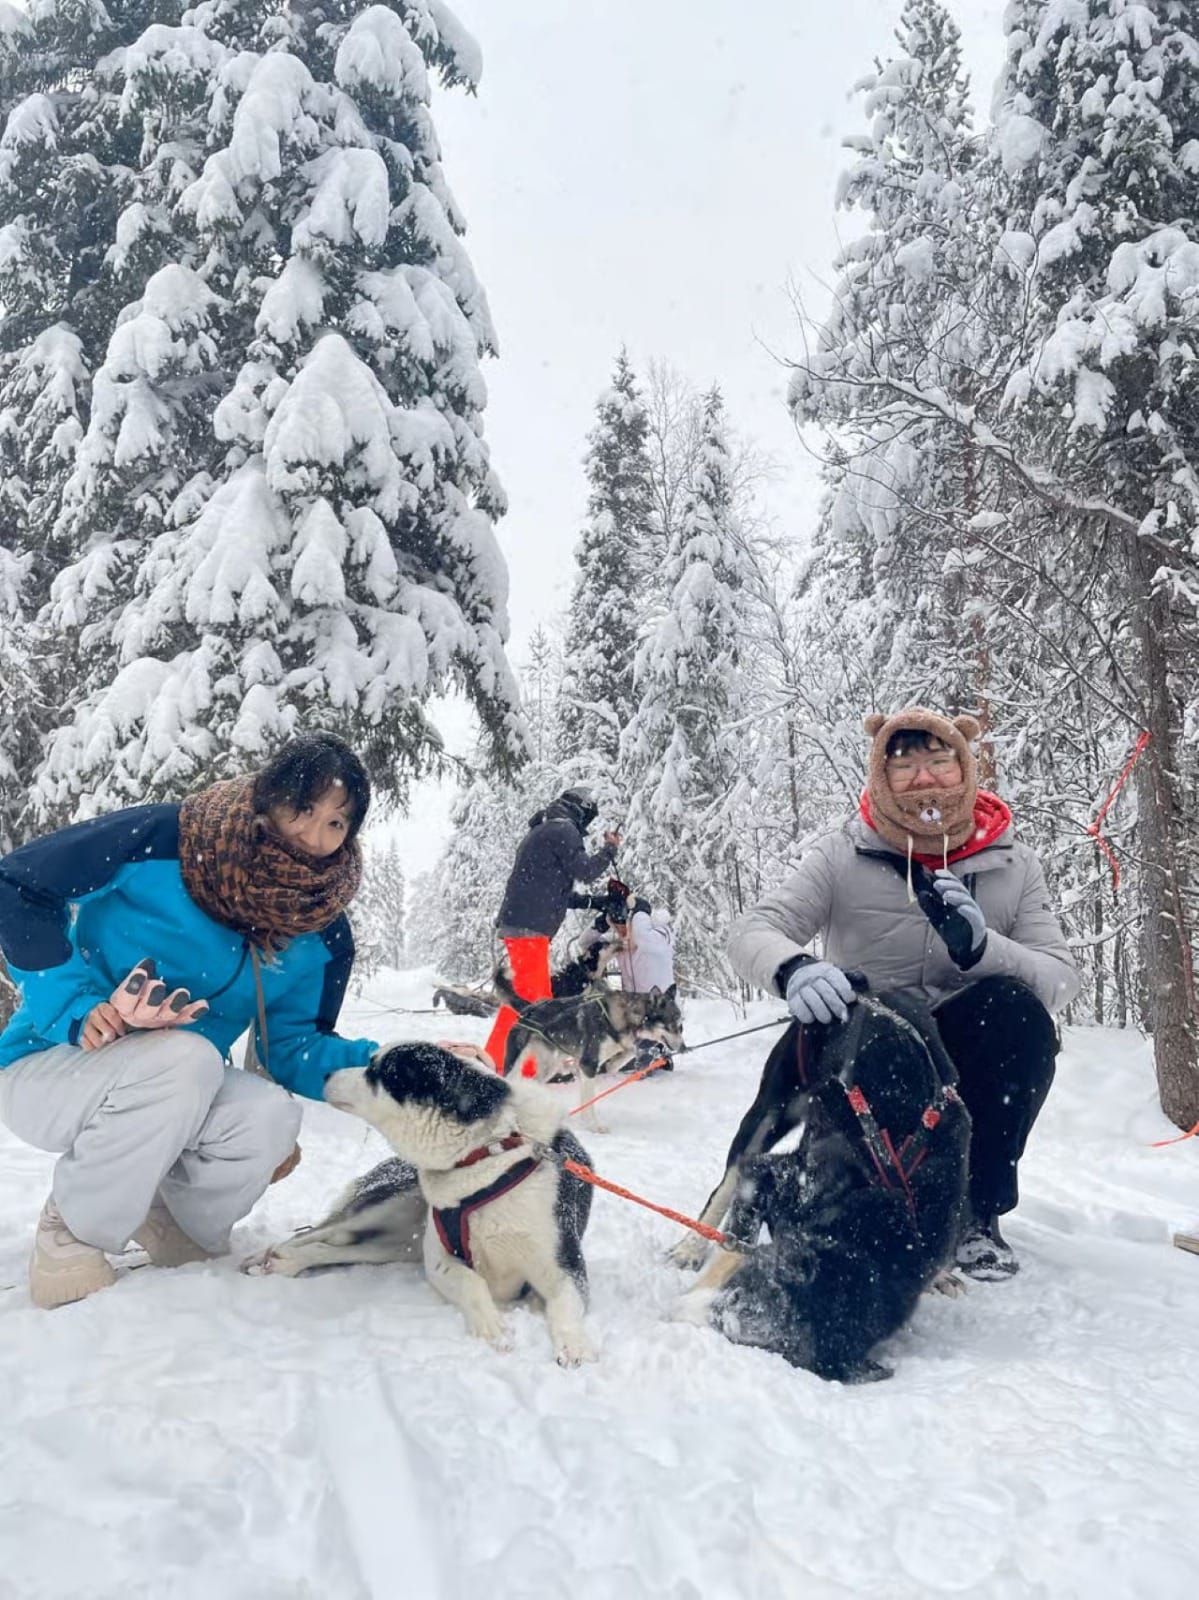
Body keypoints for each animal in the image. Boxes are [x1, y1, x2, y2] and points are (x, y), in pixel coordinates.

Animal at [246, 1042, 598, 1366]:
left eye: (377, 1071)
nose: (327, 1074)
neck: (489, 1153)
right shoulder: (439, 1259)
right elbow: (471, 1281)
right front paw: (492, 1327)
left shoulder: (565, 1266)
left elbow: (565, 1304)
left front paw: (575, 1344)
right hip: (389, 1204)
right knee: (317, 1231)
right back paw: (269, 1255)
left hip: (400, 1246)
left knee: (334, 1247)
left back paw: (286, 1260)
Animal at [492, 961, 685, 1130]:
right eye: (672, 1025)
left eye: (681, 1026)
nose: (683, 1047)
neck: (622, 1017)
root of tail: (530, 1007)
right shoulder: (588, 1065)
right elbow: (590, 1101)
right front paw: (594, 1125)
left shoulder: (592, 1064)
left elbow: (627, 1053)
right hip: (515, 1062)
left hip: (550, 1066)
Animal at [671, 991, 971, 1381]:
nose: (680, 1315)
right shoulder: (772, 1176)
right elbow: (735, 1238)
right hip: (771, 1108)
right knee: (728, 1179)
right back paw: (690, 1246)